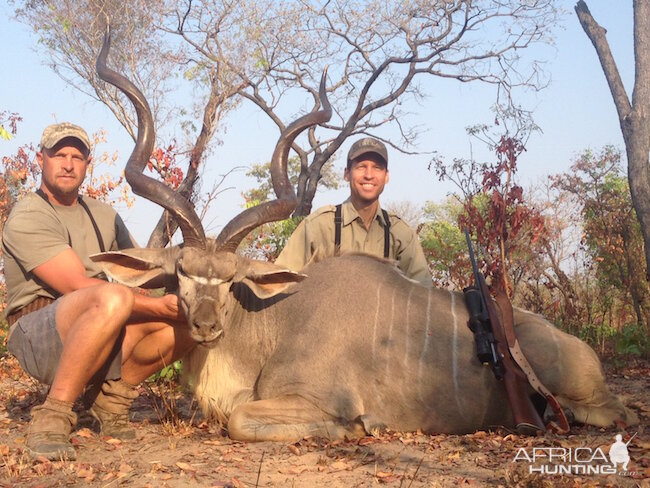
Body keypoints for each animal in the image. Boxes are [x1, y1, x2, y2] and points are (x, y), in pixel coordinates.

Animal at [93, 27, 636, 442]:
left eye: (230, 281)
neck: (276, 321)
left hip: (584, 396)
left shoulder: (310, 398)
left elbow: (243, 420)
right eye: (182, 273)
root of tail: (583, 352)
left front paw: (356, 428)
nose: (205, 325)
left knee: (615, 414)